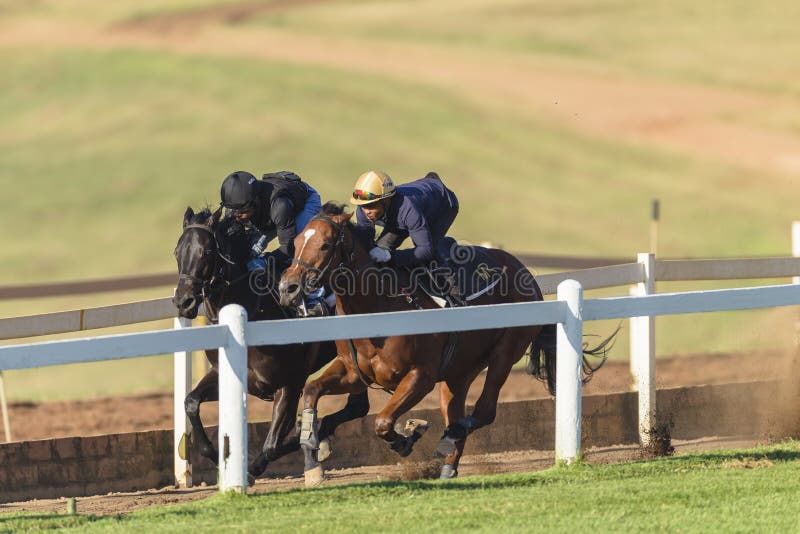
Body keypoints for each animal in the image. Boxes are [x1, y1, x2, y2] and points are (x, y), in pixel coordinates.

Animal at [173, 208, 370, 482]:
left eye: (206, 251)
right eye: (177, 252)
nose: (184, 302)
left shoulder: (289, 385)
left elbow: (272, 444)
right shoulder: (226, 374)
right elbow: (190, 402)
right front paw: (219, 459)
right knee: (359, 406)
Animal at [278, 204, 608, 486]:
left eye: (325, 244)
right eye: (296, 241)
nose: (287, 288)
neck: (380, 306)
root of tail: (525, 273)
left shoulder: (420, 376)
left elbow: (382, 422)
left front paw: (407, 435)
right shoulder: (354, 372)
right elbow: (312, 389)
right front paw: (312, 446)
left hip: (505, 353)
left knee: (484, 411)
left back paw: (447, 438)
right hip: (459, 372)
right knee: (457, 408)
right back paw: (448, 467)